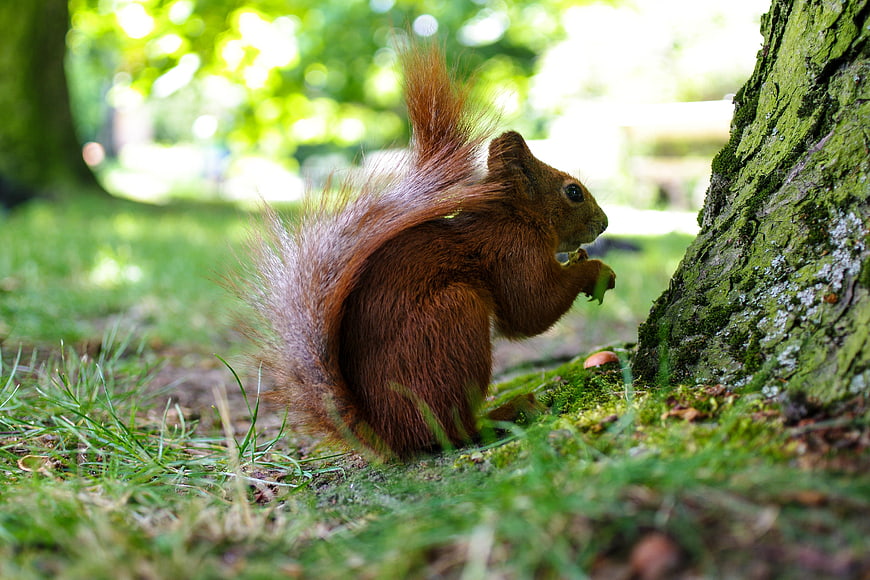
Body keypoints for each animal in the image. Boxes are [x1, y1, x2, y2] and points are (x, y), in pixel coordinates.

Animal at [244, 43, 615, 460]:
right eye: (573, 192)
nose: (604, 223)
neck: (514, 217)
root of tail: (389, 434)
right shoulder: (512, 252)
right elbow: (530, 310)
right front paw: (595, 270)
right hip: (454, 318)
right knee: (452, 430)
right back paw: (506, 412)